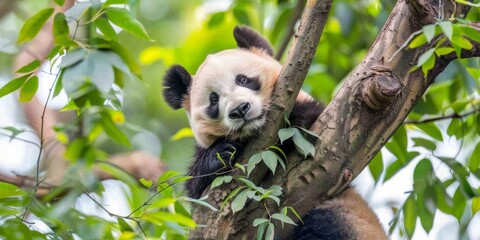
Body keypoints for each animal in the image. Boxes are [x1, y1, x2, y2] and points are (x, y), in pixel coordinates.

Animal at [161, 26, 386, 240]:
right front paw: (221, 154)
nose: (240, 109)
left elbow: (306, 128)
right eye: (213, 100)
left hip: (348, 214)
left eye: (243, 80)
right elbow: (198, 193)